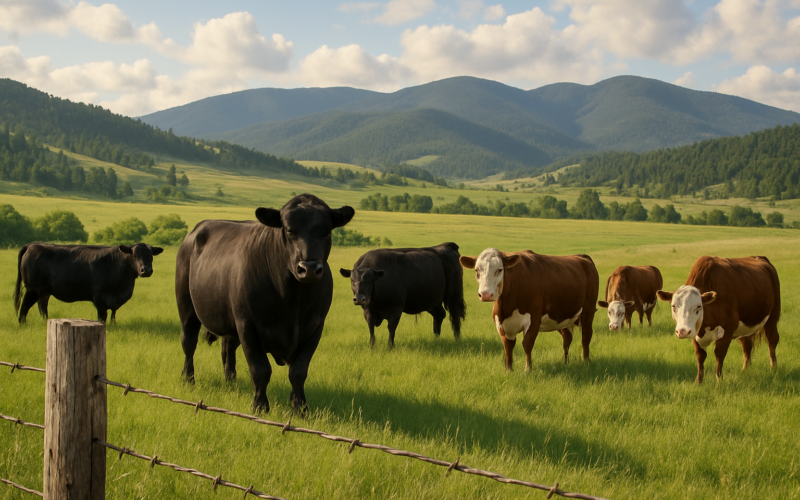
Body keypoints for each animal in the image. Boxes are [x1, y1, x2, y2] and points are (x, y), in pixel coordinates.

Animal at [14, 242, 163, 323]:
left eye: (151, 255)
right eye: (135, 255)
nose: (146, 270)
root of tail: (32, 245)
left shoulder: (115, 299)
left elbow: (113, 315)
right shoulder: (100, 298)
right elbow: (102, 317)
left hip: (44, 291)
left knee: (42, 306)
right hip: (33, 290)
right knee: (24, 307)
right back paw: (22, 324)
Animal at [175, 194, 354, 413]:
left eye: (326, 231)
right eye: (289, 230)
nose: (309, 268)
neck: (293, 299)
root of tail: (194, 232)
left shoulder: (315, 327)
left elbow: (298, 371)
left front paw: (300, 407)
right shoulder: (248, 326)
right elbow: (260, 369)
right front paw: (260, 406)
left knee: (227, 349)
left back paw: (231, 382)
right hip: (187, 307)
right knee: (189, 343)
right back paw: (188, 379)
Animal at [460, 248, 599, 371]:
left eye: (499, 270)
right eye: (477, 270)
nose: (486, 294)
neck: (509, 306)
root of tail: (582, 257)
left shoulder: (533, 320)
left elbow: (527, 344)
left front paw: (528, 369)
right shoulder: (502, 324)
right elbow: (508, 347)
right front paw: (508, 370)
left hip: (588, 311)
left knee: (586, 337)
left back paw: (586, 362)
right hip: (562, 317)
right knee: (567, 339)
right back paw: (565, 362)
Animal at [656, 255, 780, 383]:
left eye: (698, 306)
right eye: (673, 306)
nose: (683, 331)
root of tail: (759, 257)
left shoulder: (726, 332)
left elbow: (719, 355)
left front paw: (719, 380)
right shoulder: (696, 333)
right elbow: (700, 356)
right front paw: (698, 381)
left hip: (773, 317)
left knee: (772, 340)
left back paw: (773, 367)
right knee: (746, 344)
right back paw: (745, 369)